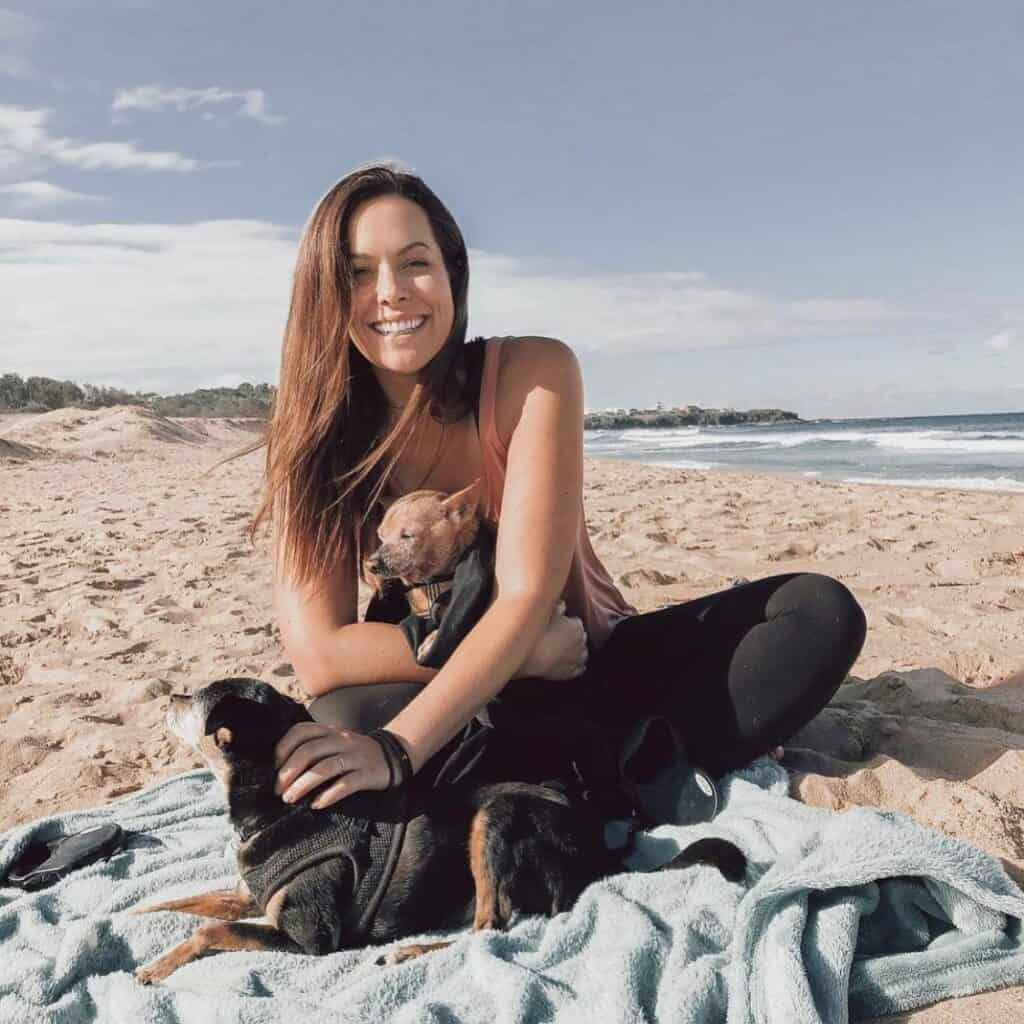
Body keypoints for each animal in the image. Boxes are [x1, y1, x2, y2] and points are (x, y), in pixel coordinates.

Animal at [134, 675, 745, 978]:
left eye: (192, 702)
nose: (165, 695)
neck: (286, 806)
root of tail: (600, 851)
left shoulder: (310, 939)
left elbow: (208, 931)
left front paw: (156, 967)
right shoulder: (248, 896)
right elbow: (182, 901)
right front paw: (135, 915)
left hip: (496, 817)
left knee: (490, 930)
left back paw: (405, 953)